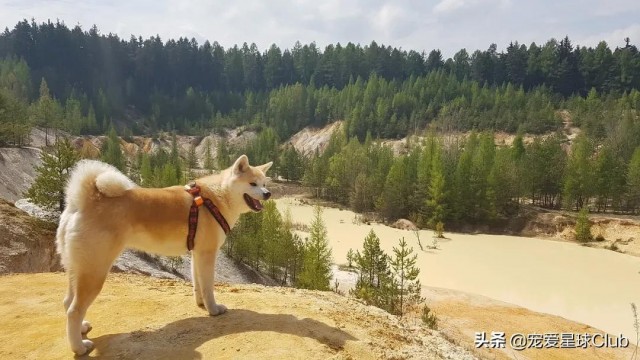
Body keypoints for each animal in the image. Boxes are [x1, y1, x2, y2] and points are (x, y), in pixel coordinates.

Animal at [55, 154, 272, 354]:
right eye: (252, 183)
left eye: (264, 183)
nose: (268, 193)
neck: (216, 197)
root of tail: (84, 201)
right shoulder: (208, 253)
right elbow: (208, 287)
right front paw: (214, 310)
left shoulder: (197, 254)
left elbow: (198, 285)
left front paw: (201, 304)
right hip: (95, 272)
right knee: (74, 310)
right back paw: (79, 347)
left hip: (78, 269)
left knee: (67, 302)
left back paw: (81, 329)